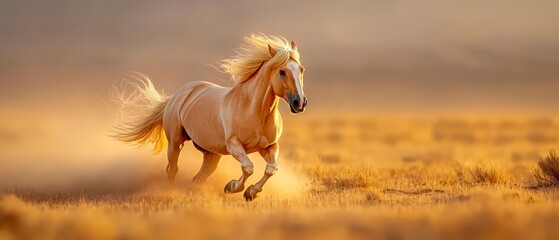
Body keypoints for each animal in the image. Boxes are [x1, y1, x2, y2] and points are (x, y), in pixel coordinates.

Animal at [112, 33, 308, 202]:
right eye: (282, 72)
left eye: (301, 69)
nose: (300, 102)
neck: (253, 110)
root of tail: (179, 94)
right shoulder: (234, 145)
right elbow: (248, 167)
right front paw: (232, 187)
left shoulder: (269, 146)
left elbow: (271, 169)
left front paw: (251, 193)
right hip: (175, 143)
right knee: (172, 170)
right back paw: (170, 193)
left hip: (211, 154)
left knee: (199, 177)